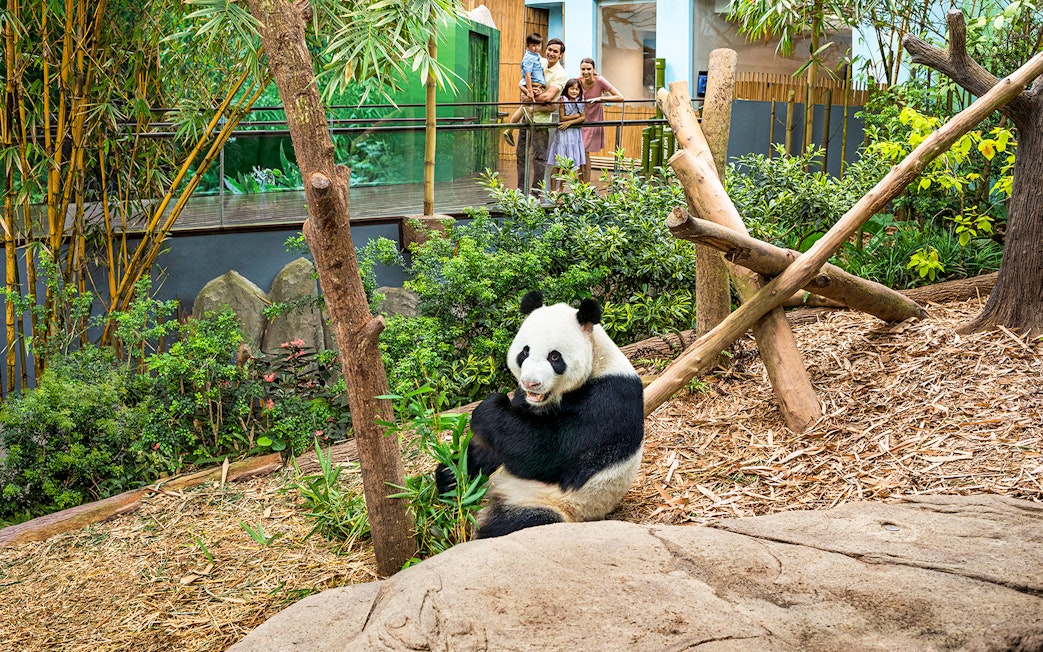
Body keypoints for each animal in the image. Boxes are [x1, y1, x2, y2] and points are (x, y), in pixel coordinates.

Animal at [438, 290, 645, 539]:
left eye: (554, 357)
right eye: (525, 351)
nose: (531, 383)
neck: (598, 360)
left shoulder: (609, 400)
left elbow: (548, 451)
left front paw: (489, 408)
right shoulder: (525, 400)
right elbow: (498, 446)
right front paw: (452, 473)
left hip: (549, 502)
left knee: (514, 524)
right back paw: (449, 479)